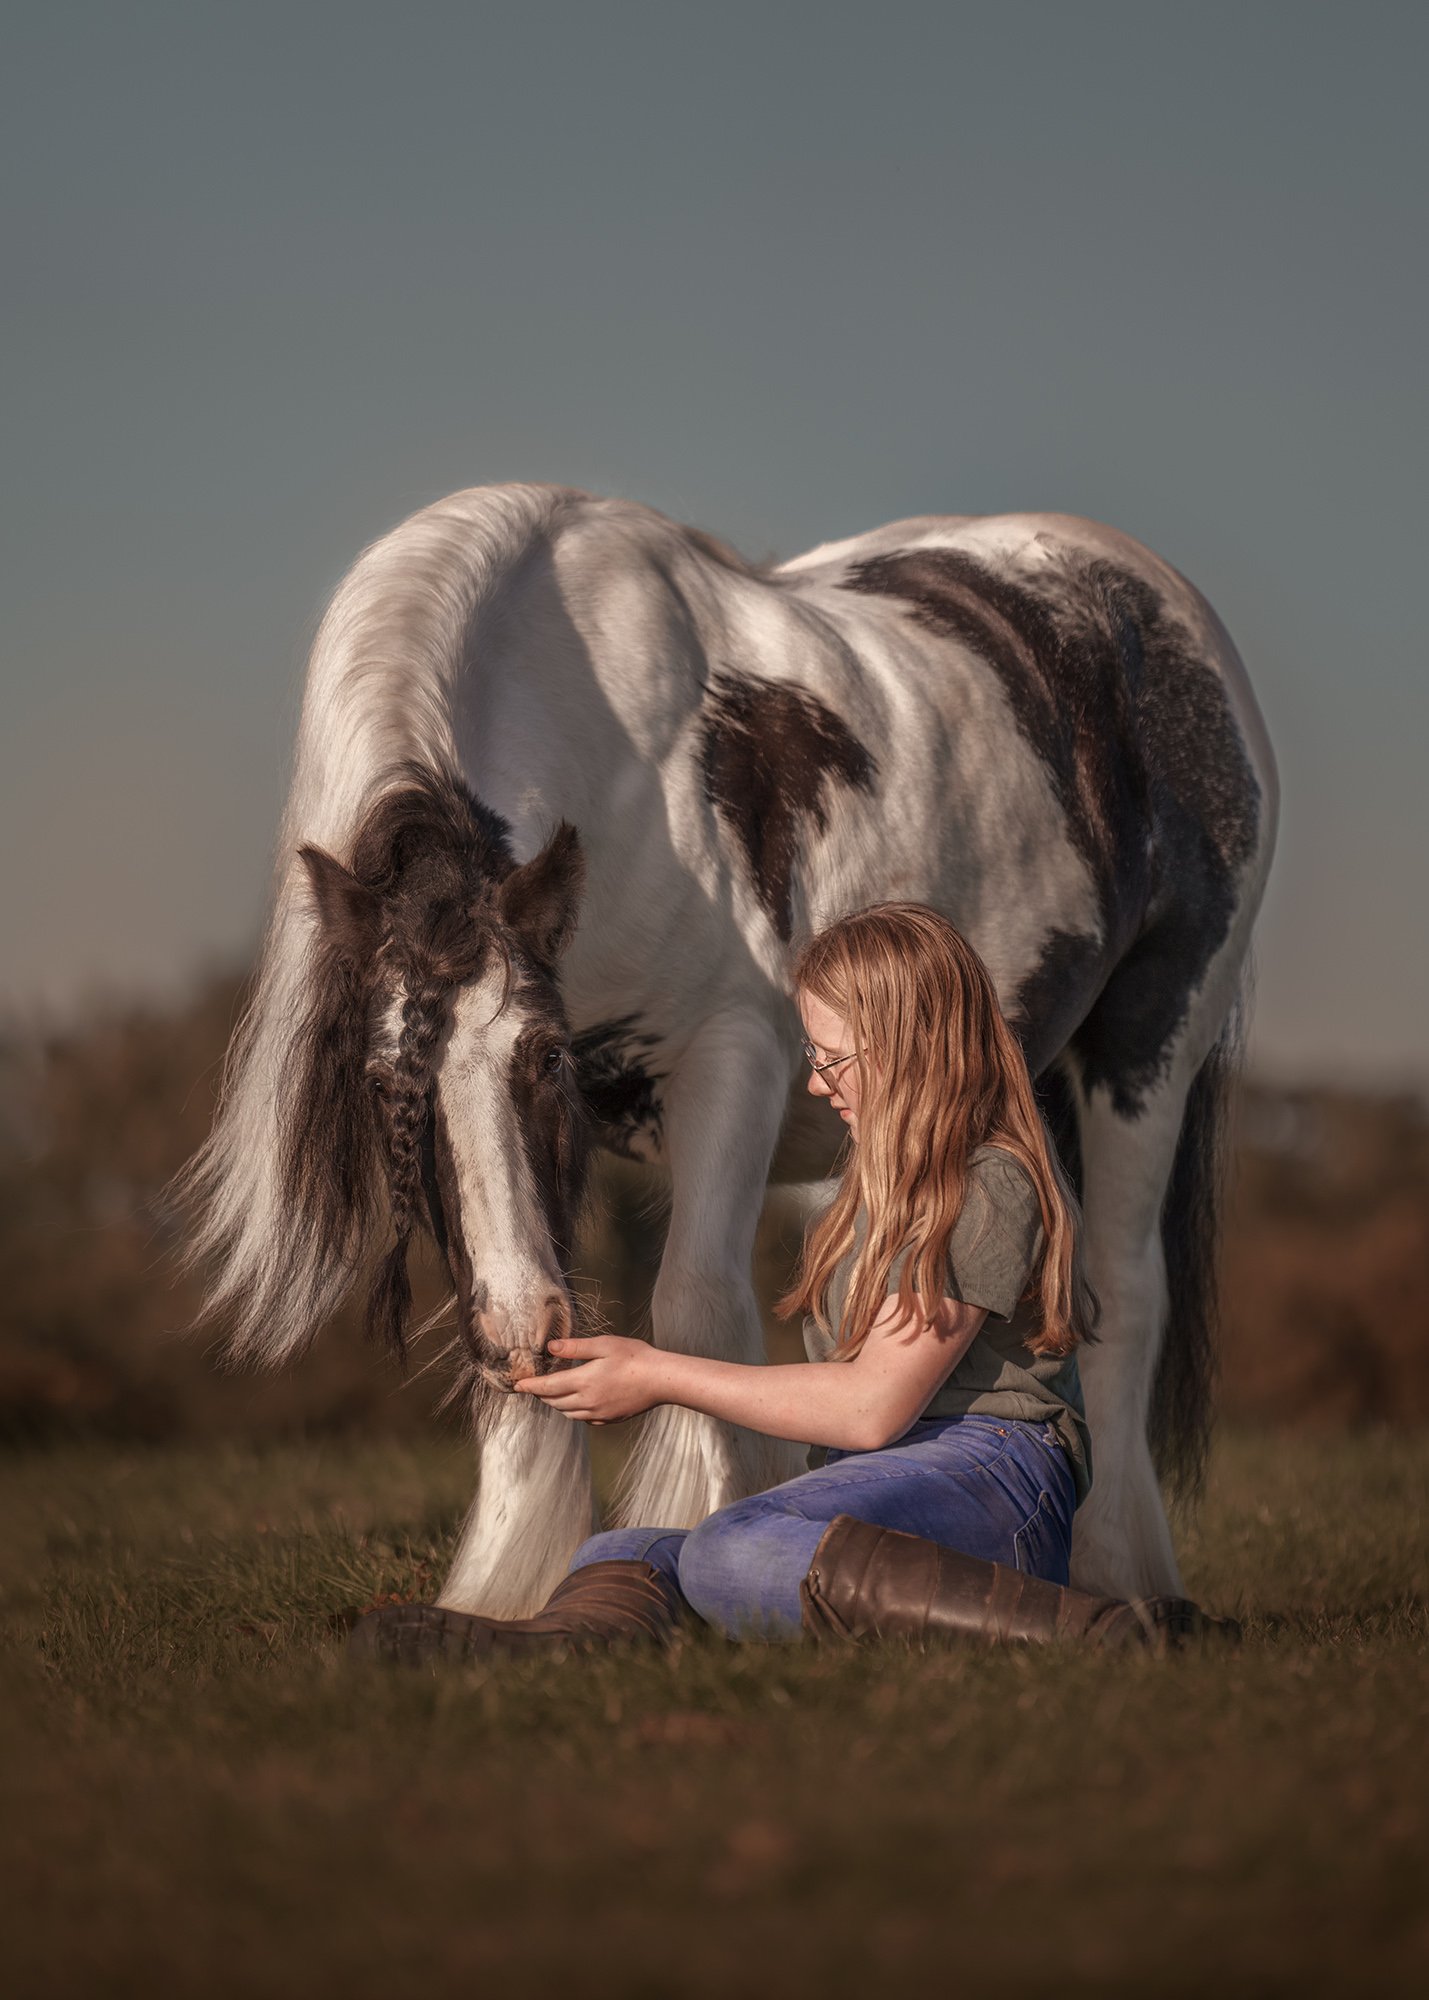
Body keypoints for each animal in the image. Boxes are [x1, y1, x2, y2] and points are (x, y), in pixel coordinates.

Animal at [175, 482, 1277, 1618]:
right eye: (384, 1083)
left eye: (544, 1057)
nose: (525, 1334)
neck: (612, 749)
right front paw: (509, 1582)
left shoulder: (727, 1057)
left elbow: (695, 1309)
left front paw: (683, 1534)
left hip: (1149, 1049)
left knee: (1121, 1291)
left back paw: (1119, 1571)